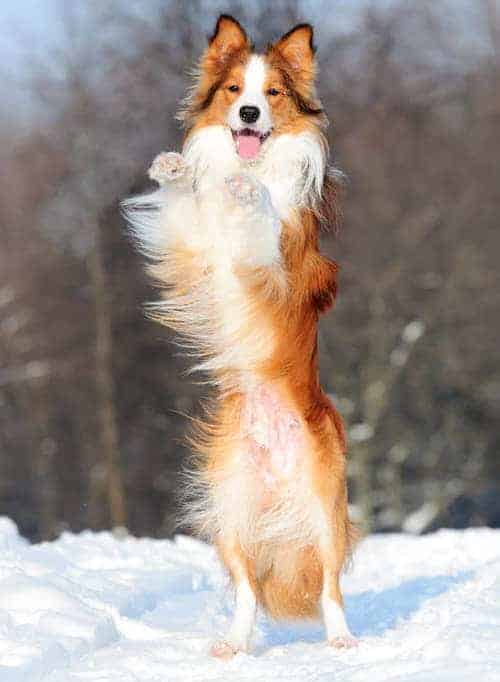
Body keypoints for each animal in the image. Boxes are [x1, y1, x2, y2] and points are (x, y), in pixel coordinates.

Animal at [127, 14, 358, 652]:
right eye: (234, 91)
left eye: (272, 93)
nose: (250, 113)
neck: (249, 165)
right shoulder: (197, 252)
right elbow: (187, 209)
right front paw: (174, 170)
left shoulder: (280, 271)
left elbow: (262, 223)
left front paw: (250, 196)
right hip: (229, 510)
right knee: (249, 590)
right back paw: (232, 645)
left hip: (324, 510)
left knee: (329, 586)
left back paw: (342, 641)